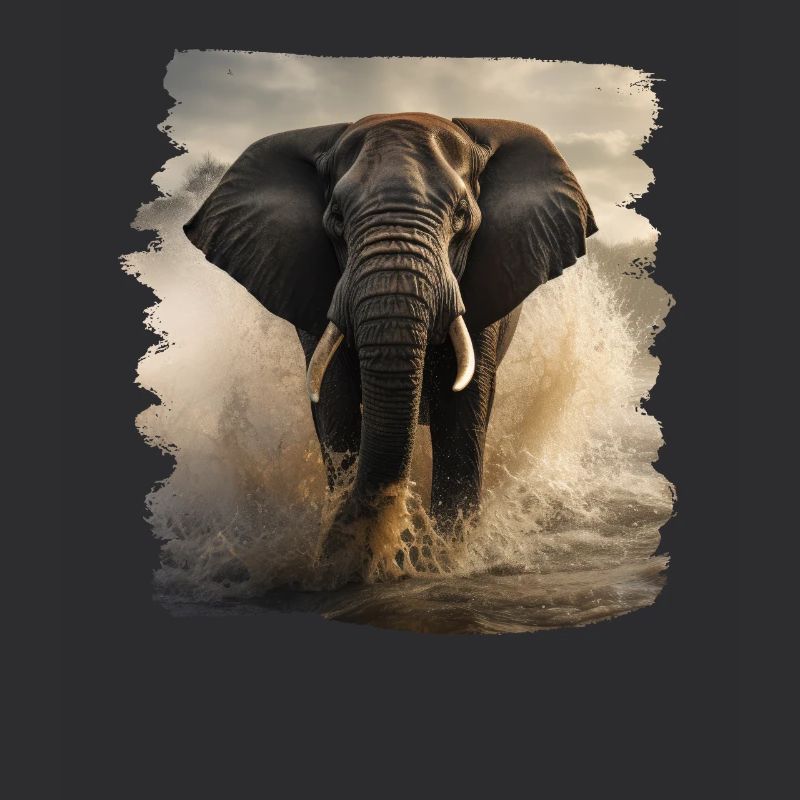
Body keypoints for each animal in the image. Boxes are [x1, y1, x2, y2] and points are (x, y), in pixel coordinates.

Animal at [184, 113, 596, 579]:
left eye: (461, 217)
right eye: (337, 218)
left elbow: (464, 409)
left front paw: (443, 561)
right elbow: (335, 401)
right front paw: (348, 558)